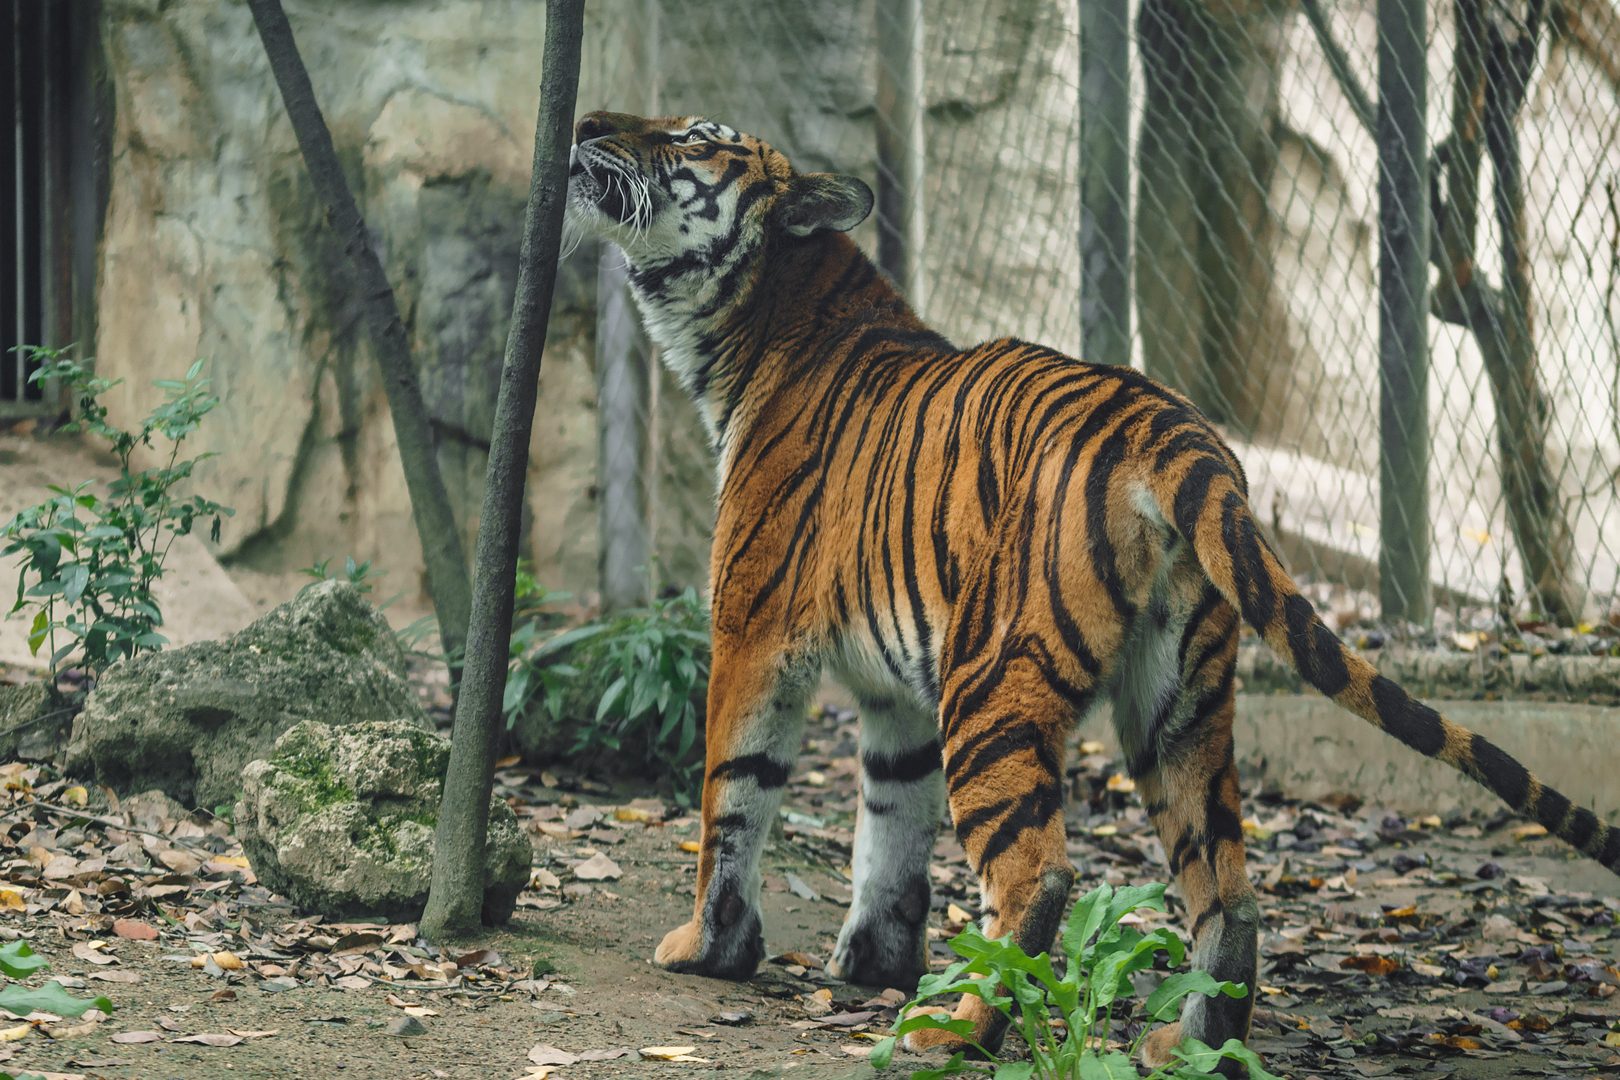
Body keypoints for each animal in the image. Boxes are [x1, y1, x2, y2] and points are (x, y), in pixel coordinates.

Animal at [562, 110, 1620, 1067]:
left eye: (694, 137)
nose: (584, 125)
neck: (753, 323)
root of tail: (1173, 428)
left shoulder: (753, 631)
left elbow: (731, 796)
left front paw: (710, 949)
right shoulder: (894, 694)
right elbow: (891, 829)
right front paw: (874, 964)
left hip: (992, 681)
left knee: (1040, 878)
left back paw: (957, 1032)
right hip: (1176, 705)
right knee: (1227, 892)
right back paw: (1187, 1044)